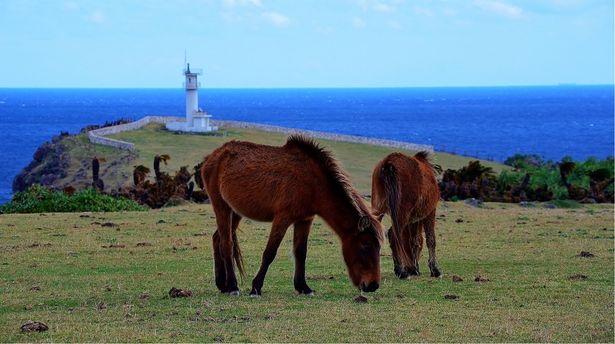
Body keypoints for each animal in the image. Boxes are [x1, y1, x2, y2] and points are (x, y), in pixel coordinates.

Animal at [203, 134, 384, 296]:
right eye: (365, 244)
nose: (373, 285)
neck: (312, 183)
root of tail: (213, 156)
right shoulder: (283, 218)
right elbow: (270, 252)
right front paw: (256, 287)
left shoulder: (305, 220)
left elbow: (300, 252)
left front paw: (303, 287)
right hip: (221, 206)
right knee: (226, 244)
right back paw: (232, 286)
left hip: (235, 212)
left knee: (217, 238)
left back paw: (222, 284)